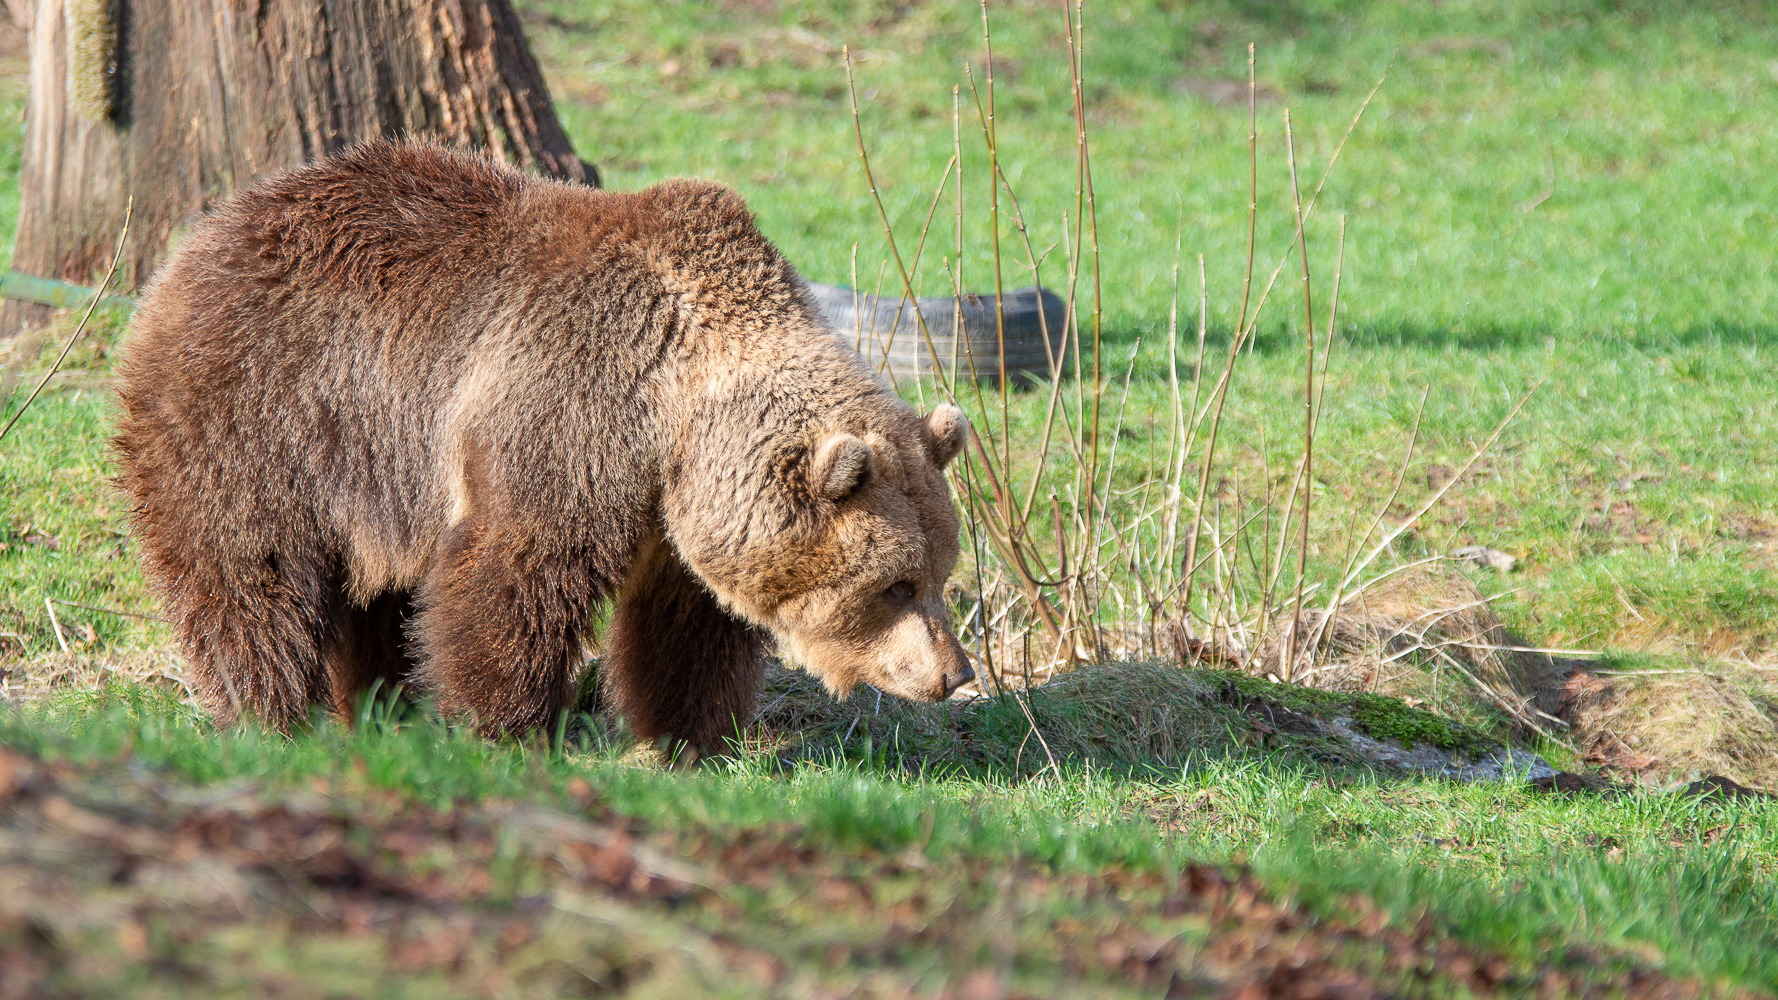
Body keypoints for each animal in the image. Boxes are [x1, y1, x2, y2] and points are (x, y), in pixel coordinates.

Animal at [114, 136, 974, 750]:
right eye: (895, 585)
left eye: (939, 571)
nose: (954, 674)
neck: (677, 411)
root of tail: (207, 231)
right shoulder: (570, 407)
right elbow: (516, 573)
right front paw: (503, 728)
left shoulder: (680, 515)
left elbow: (684, 626)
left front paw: (687, 740)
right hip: (263, 416)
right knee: (250, 574)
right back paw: (268, 716)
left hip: (372, 468)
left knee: (374, 596)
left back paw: (381, 709)